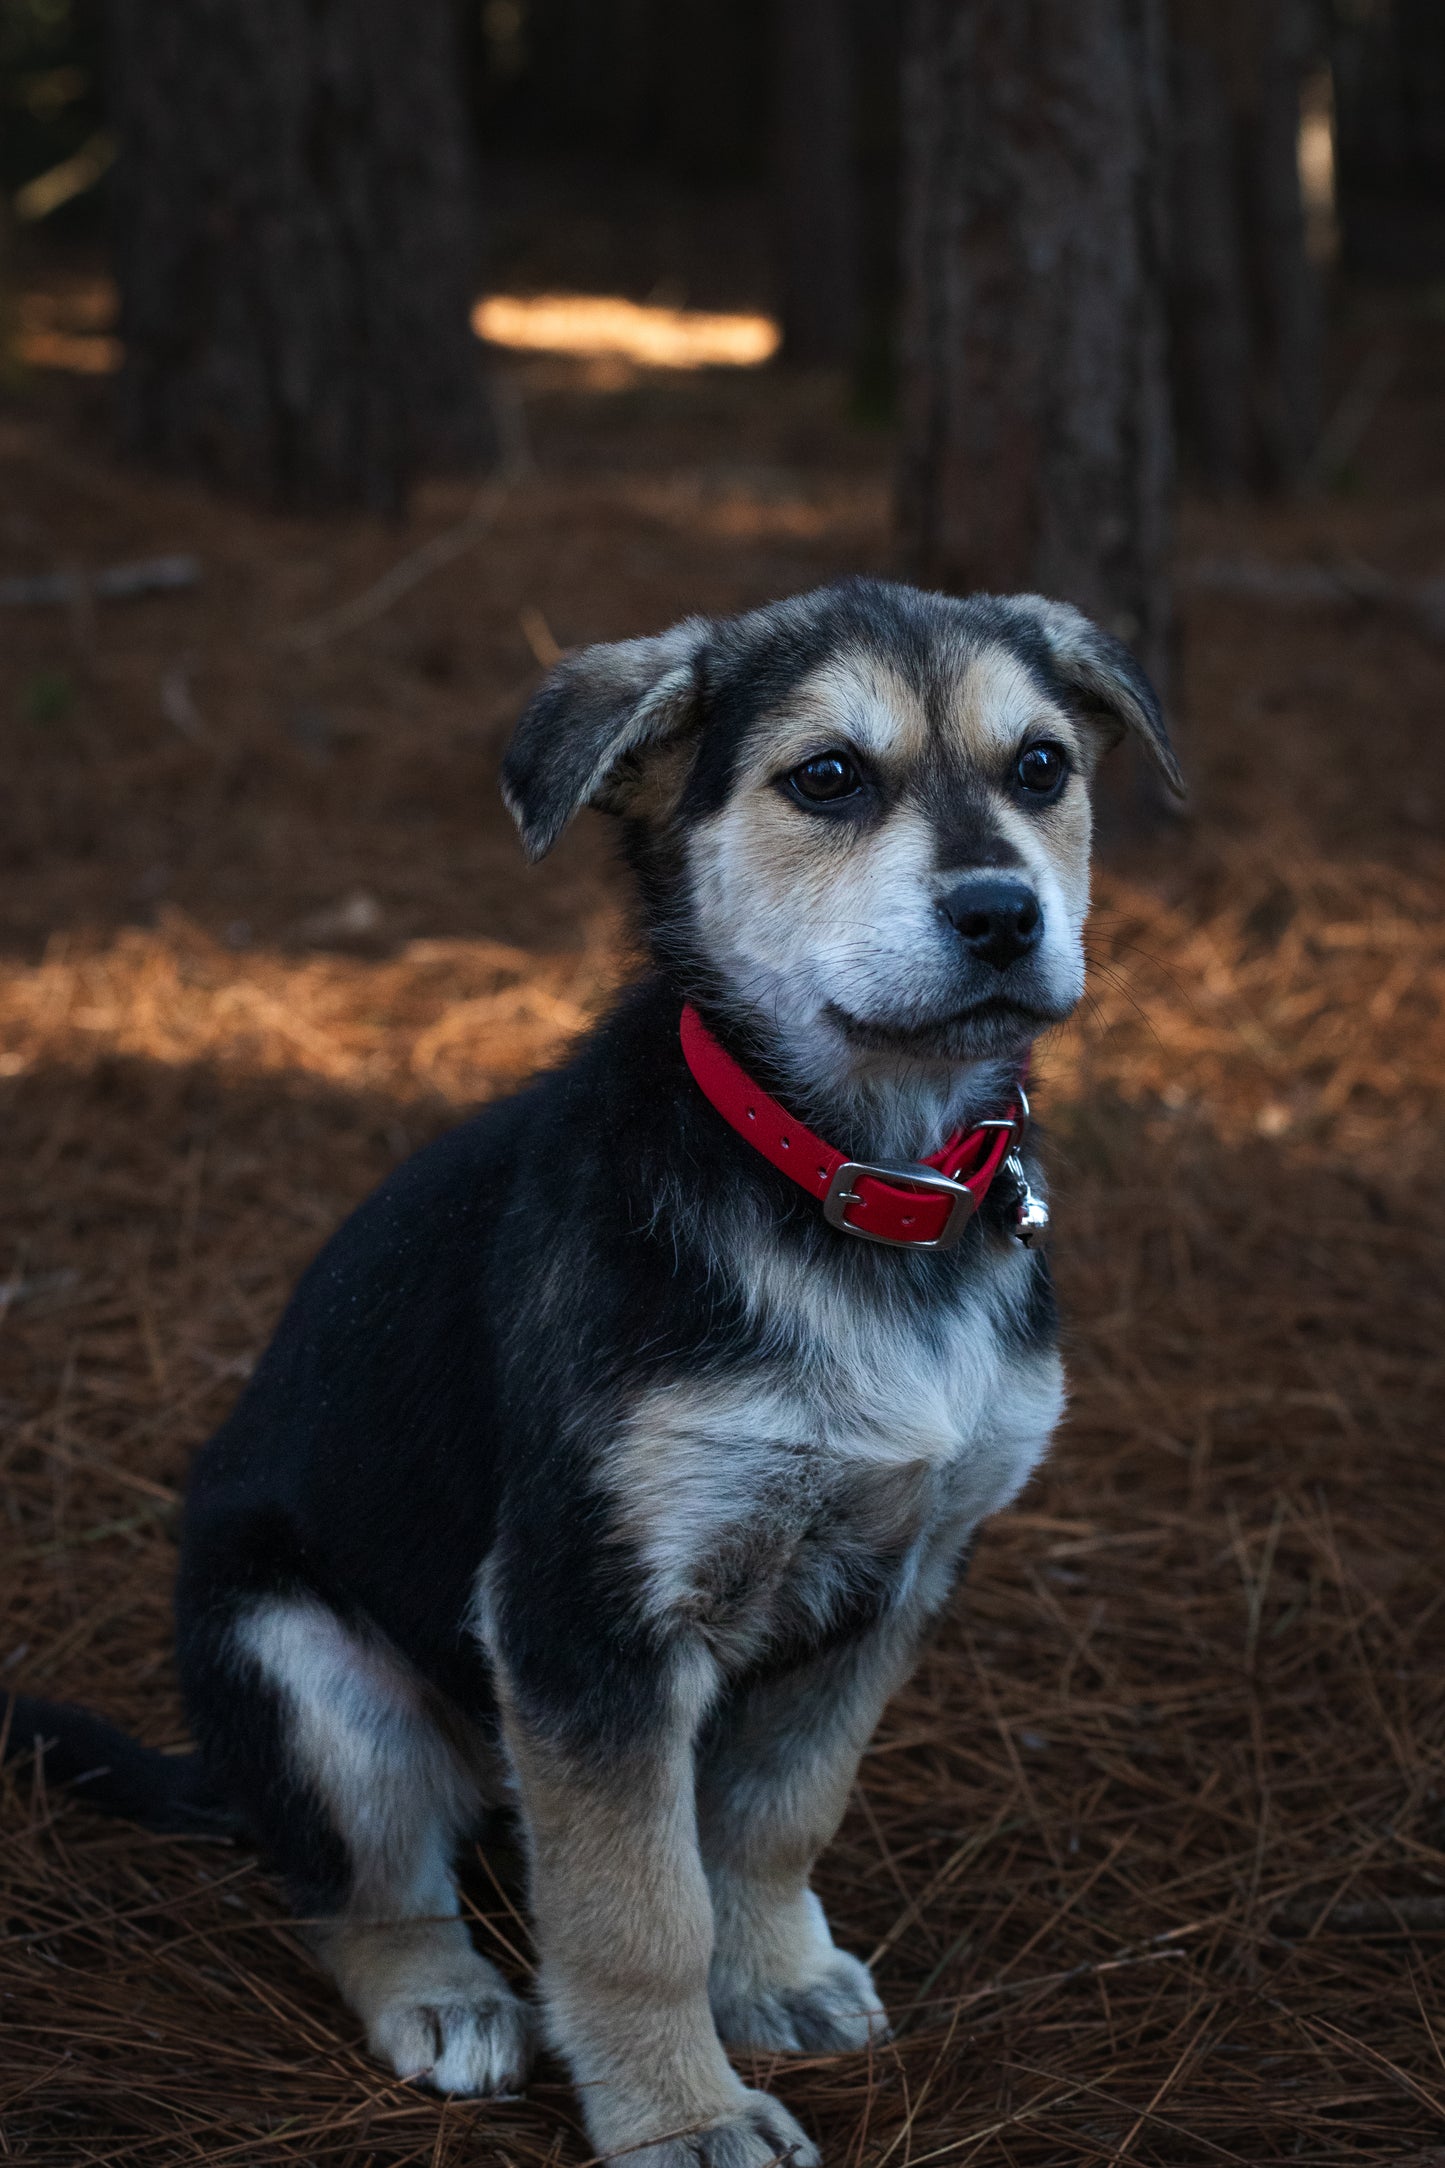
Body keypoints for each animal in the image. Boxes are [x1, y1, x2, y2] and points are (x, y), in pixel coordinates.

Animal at [8, 576, 1178, 2168]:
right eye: (827, 778)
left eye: (1042, 768)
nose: (1005, 913)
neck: (850, 1183)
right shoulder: (585, 1613)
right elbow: (634, 1910)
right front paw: (680, 2113)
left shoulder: (897, 1579)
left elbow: (772, 1816)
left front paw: (775, 1972)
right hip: (304, 1670)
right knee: (358, 1885)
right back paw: (446, 1995)